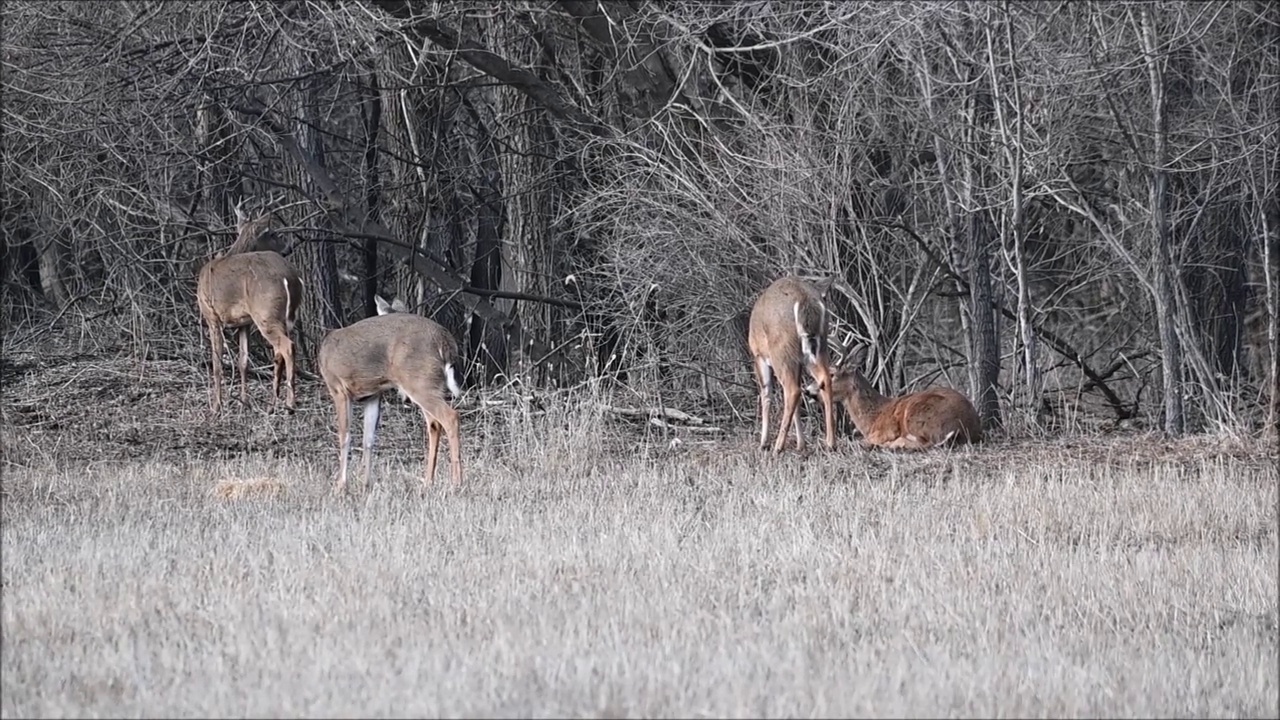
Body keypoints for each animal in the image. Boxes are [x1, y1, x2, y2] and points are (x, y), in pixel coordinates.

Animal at [195, 198, 303, 412]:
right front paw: (244, 402)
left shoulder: (212, 316)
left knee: (287, 347)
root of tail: (290, 278)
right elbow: (243, 362)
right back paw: (272, 403)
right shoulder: (244, 322)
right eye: (273, 234)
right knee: (278, 352)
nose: (288, 248)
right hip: (284, 318)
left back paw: (289, 403)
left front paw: (216, 406)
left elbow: (217, 364)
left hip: (265, 313)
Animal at [320, 293, 465, 491]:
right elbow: (368, 438)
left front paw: (341, 485)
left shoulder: (338, 387)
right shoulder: (373, 394)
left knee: (450, 417)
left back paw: (456, 483)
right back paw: (428, 482)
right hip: (428, 384)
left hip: (418, 381)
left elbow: (345, 436)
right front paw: (366, 484)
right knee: (435, 424)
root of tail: (446, 341)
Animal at [747, 271, 839, 450]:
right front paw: (801, 444)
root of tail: (804, 299)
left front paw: (763, 443)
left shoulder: (759, 356)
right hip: (819, 346)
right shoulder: (798, 362)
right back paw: (830, 443)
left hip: (780, 351)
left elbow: (766, 394)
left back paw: (777, 447)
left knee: (792, 390)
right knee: (824, 379)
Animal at [803, 343, 983, 448]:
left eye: (831, 374)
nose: (807, 390)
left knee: (924, 443)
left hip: (918, 414)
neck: (873, 418)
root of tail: (963, 426)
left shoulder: (885, 431)